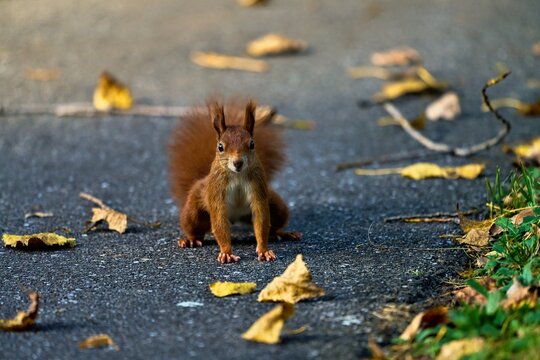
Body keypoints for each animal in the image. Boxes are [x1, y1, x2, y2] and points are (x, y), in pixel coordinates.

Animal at [169, 100, 300, 262]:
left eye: (252, 144)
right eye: (220, 147)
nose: (238, 163)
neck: (237, 175)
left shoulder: (258, 185)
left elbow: (262, 218)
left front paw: (264, 250)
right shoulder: (217, 189)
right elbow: (219, 221)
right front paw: (226, 252)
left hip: (277, 207)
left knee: (275, 223)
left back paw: (282, 233)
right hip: (193, 210)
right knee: (194, 227)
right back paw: (191, 240)